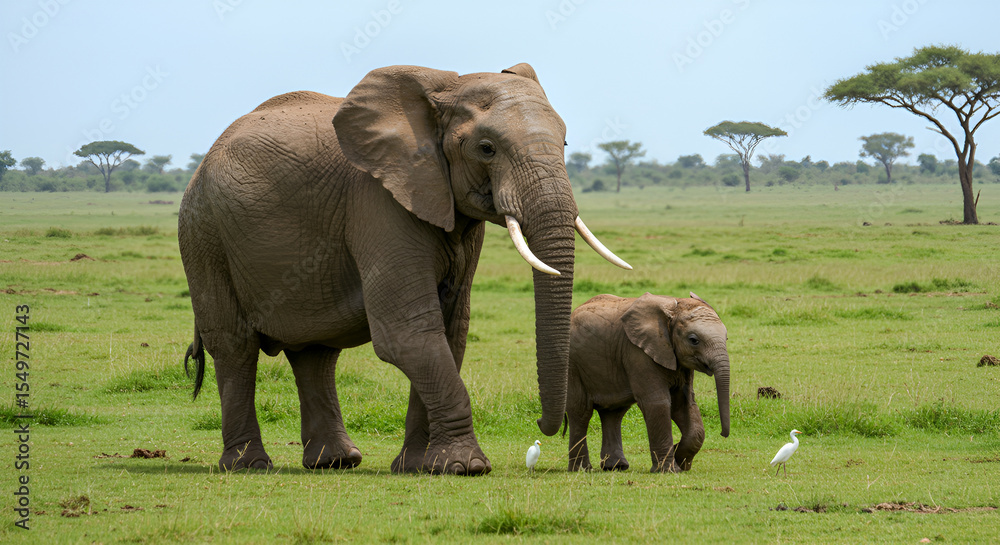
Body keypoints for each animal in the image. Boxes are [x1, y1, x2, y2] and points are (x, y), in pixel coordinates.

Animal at [178, 63, 630, 475]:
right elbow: (407, 332)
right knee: (235, 346)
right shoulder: (377, 201)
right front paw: (466, 467)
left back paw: (335, 462)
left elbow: (450, 330)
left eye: (565, 142)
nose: (540, 422)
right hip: (203, 233)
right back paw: (248, 466)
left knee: (315, 353)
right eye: (486, 148)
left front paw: (418, 467)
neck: (444, 90)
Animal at [564, 292, 730, 472]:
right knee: (581, 411)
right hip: (572, 364)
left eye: (727, 337)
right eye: (693, 340)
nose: (723, 434)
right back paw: (582, 469)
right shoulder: (637, 352)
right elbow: (657, 402)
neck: (673, 308)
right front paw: (669, 470)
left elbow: (684, 404)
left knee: (613, 412)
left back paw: (616, 467)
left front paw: (679, 458)